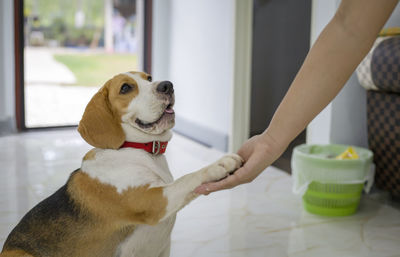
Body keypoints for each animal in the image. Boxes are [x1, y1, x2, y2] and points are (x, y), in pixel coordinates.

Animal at [1, 70, 242, 256]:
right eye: (126, 88)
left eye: (149, 77)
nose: (167, 85)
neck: (138, 151)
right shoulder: (153, 201)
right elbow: (187, 179)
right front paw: (220, 165)